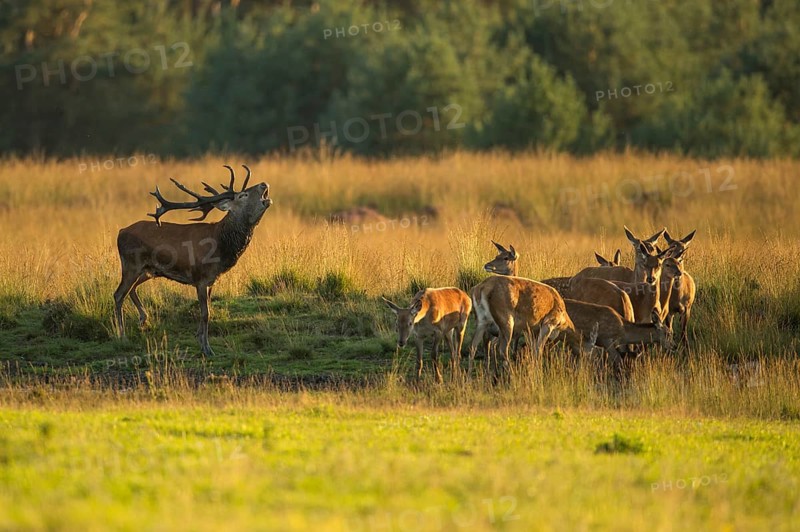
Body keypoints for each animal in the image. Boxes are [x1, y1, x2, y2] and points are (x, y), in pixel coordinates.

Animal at [113, 165, 272, 356]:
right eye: (243, 195)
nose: (264, 184)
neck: (220, 245)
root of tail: (121, 231)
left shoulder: (212, 280)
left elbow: (207, 310)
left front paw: (199, 339)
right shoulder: (200, 278)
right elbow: (205, 313)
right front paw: (207, 348)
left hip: (148, 270)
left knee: (131, 289)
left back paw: (143, 318)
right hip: (131, 265)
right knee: (118, 294)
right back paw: (122, 336)